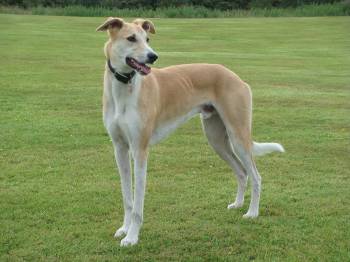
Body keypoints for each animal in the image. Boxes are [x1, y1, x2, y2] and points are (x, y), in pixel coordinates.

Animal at [95, 17, 284, 247]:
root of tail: (237, 77)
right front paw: (123, 229)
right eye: (131, 38)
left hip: (238, 135)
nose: (153, 56)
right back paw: (238, 204)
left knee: (256, 176)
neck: (125, 89)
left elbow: (138, 202)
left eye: (147, 39)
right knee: (241, 172)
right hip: (216, 139)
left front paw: (132, 237)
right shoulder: (120, 148)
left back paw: (252, 213)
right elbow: (127, 197)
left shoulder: (140, 150)